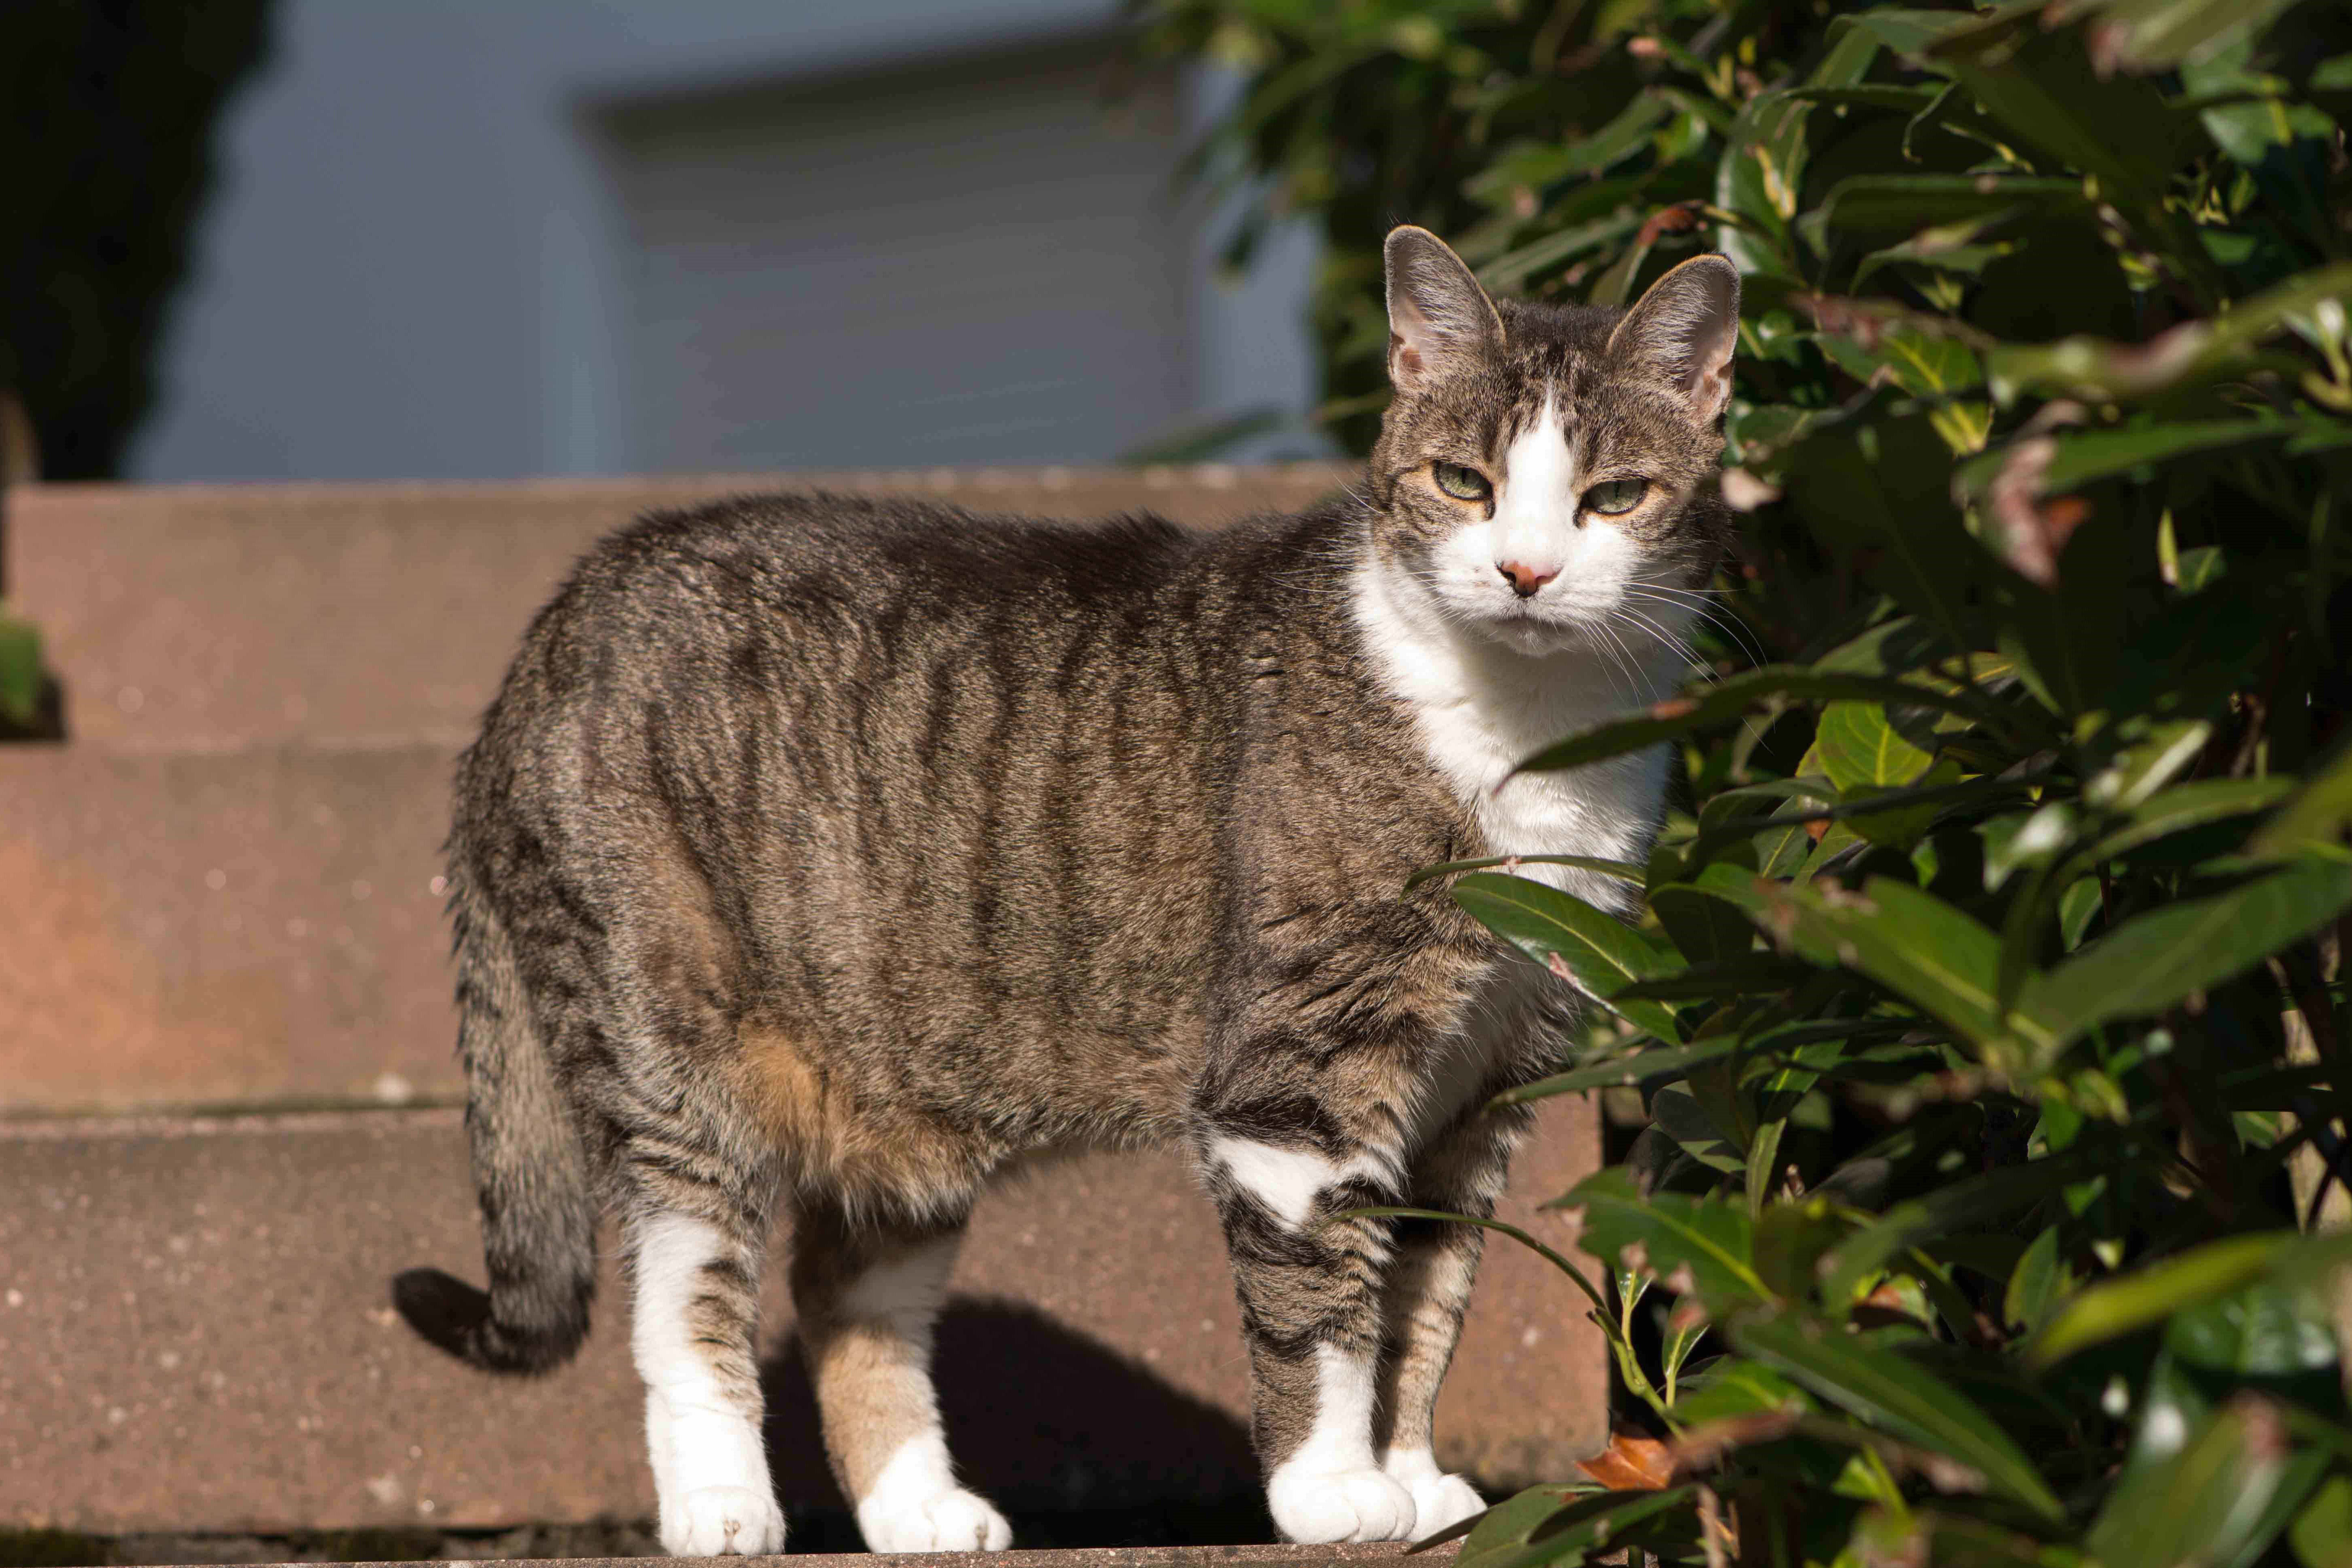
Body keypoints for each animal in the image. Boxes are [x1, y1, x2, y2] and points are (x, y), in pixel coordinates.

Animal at [395, 230, 1740, 1561]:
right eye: (1463, 482)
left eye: (1612, 498)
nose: (1525, 570)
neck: (1530, 733)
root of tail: (554, 623)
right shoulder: (1299, 1079)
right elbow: (1322, 1303)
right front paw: (1334, 1491)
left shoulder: (1490, 1079)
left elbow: (1427, 1299)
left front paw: (1416, 1481)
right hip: (669, 1058)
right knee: (687, 1299)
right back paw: (721, 1508)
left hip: (906, 1094)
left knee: (845, 1296)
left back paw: (919, 1510)